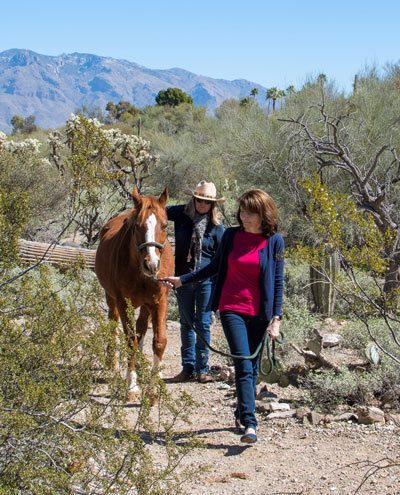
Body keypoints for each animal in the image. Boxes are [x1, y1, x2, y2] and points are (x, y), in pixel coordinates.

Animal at [96, 188, 174, 402]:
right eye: (137, 226)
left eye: (165, 225)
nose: (152, 265)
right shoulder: (124, 302)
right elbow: (130, 339)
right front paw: (132, 386)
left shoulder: (159, 301)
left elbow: (159, 341)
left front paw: (153, 390)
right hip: (111, 298)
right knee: (113, 322)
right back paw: (112, 362)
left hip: (146, 305)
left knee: (141, 328)